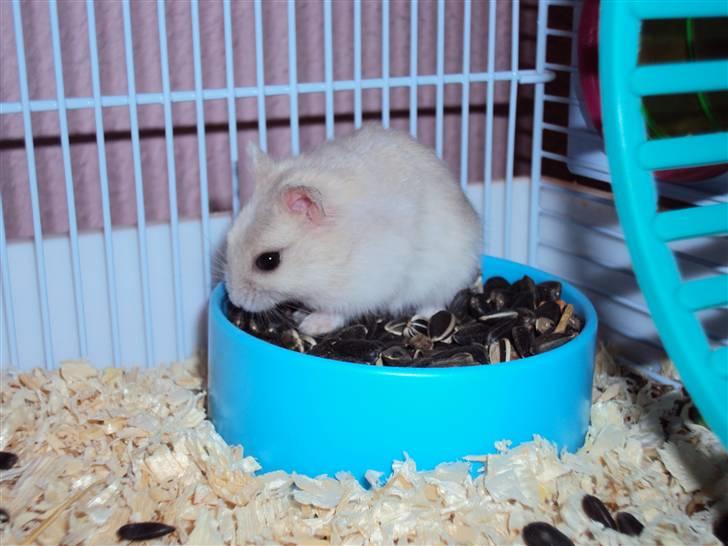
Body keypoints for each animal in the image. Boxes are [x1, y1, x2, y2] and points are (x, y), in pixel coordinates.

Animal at [225, 125, 483, 336]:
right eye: (229, 239)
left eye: (268, 261)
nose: (235, 301)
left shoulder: (361, 287)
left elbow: (337, 311)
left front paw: (309, 326)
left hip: (446, 275)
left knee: (436, 301)